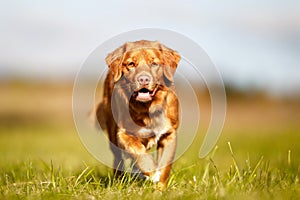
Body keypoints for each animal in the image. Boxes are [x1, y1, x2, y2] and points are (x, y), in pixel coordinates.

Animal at [96, 39, 180, 186]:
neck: (147, 108)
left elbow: (165, 166)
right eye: (131, 64)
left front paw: (159, 188)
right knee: (118, 160)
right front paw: (152, 172)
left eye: (154, 63)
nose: (143, 79)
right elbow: (138, 151)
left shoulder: (169, 133)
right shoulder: (123, 133)